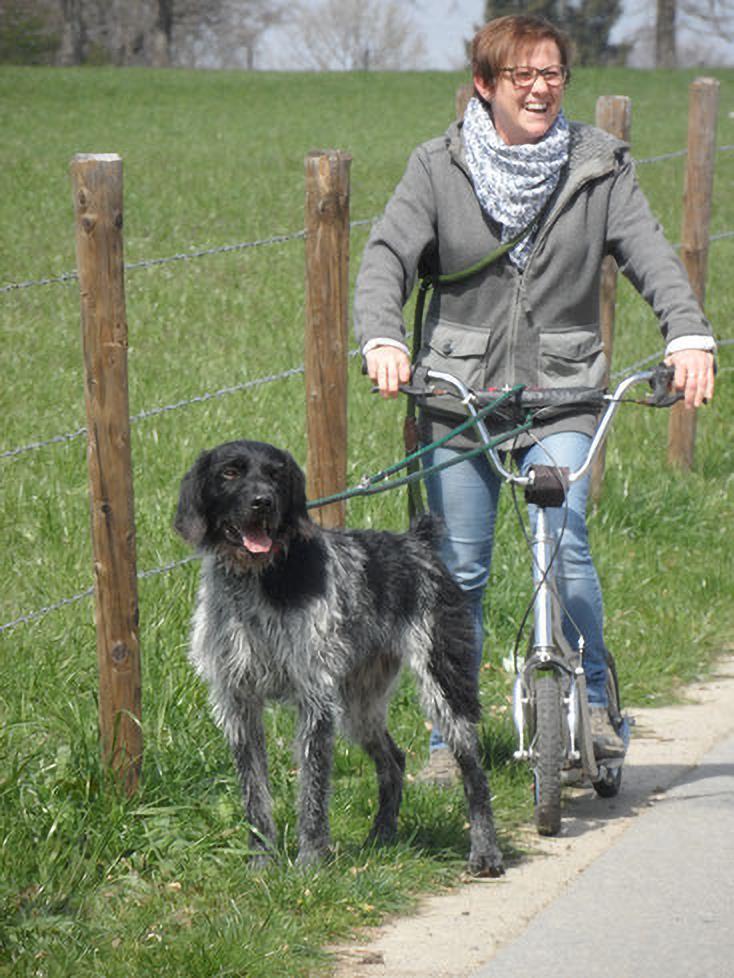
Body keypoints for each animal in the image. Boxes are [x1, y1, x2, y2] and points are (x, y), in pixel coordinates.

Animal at [174, 438, 506, 872]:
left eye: (276, 474)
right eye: (230, 472)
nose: (263, 502)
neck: (257, 580)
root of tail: (416, 542)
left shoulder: (314, 697)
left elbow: (312, 789)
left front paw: (311, 860)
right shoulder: (239, 703)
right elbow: (255, 793)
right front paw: (261, 860)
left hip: (443, 684)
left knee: (474, 771)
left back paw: (485, 850)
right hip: (359, 704)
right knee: (393, 760)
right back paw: (382, 834)